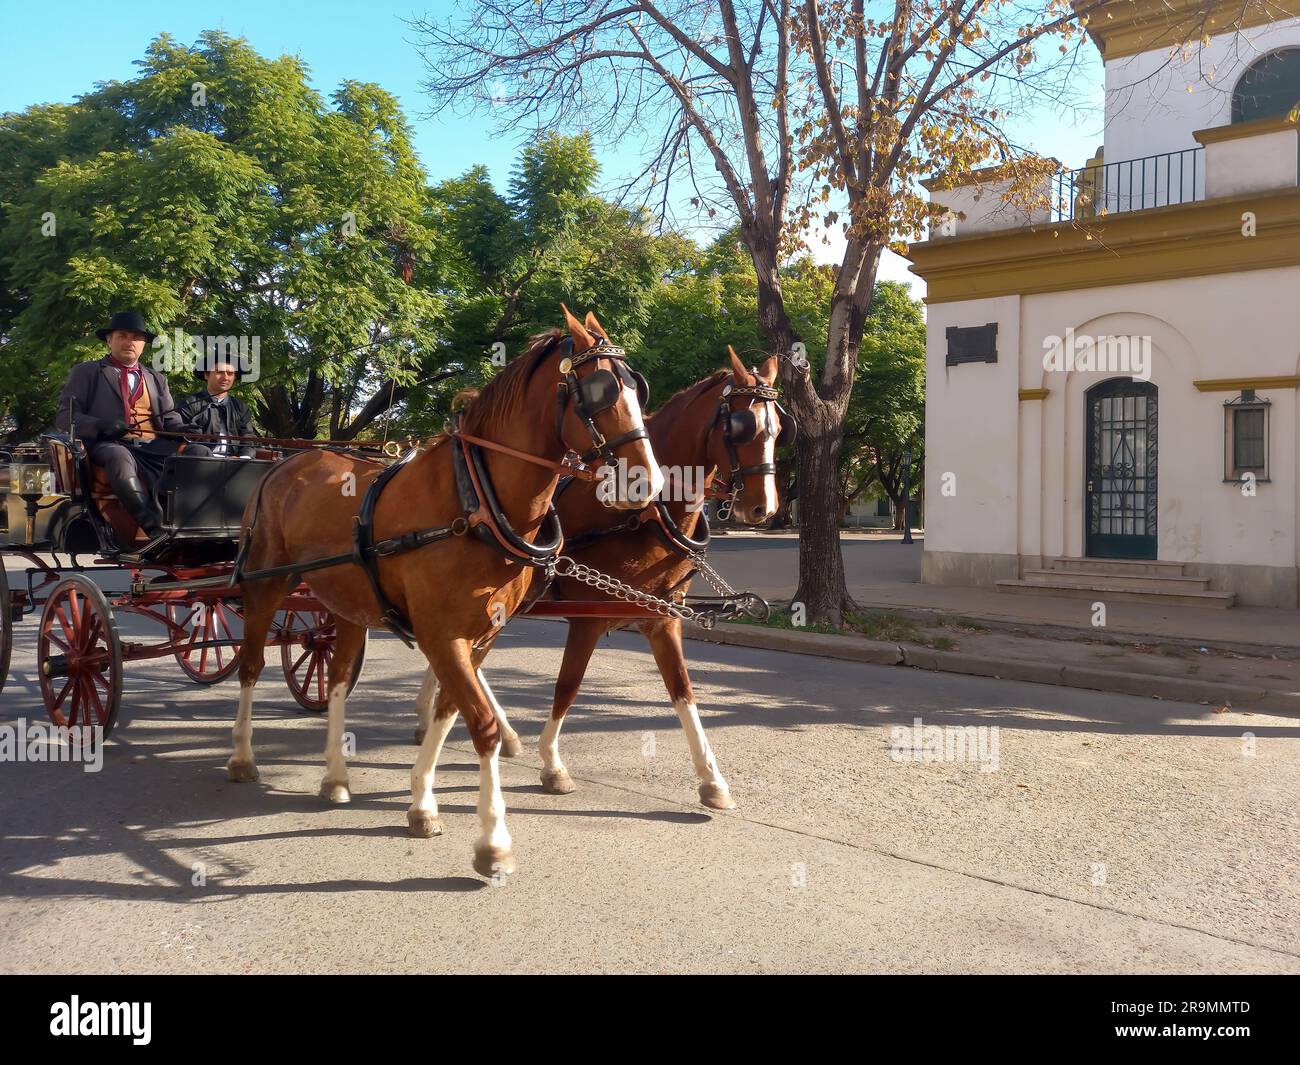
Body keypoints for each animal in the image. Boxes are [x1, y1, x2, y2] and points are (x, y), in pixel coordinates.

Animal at [226, 304, 660, 879]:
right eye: (599, 390)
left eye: (638, 386)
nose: (648, 482)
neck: (475, 500)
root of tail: (285, 461)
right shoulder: (440, 633)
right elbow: (482, 726)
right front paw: (493, 842)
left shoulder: (480, 634)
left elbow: (449, 713)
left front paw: (421, 803)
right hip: (265, 585)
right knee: (252, 665)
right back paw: (242, 756)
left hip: (348, 605)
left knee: (337, 681)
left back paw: (336, 775)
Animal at [416, 348, 785, 806]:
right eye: (741, 426)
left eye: (779, 429)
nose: (764, 508)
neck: (645, 514)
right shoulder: (588, 619)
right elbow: (567, 688)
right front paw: (552, 764)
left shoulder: (662, 618)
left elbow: (684, 693)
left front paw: (712, 780)